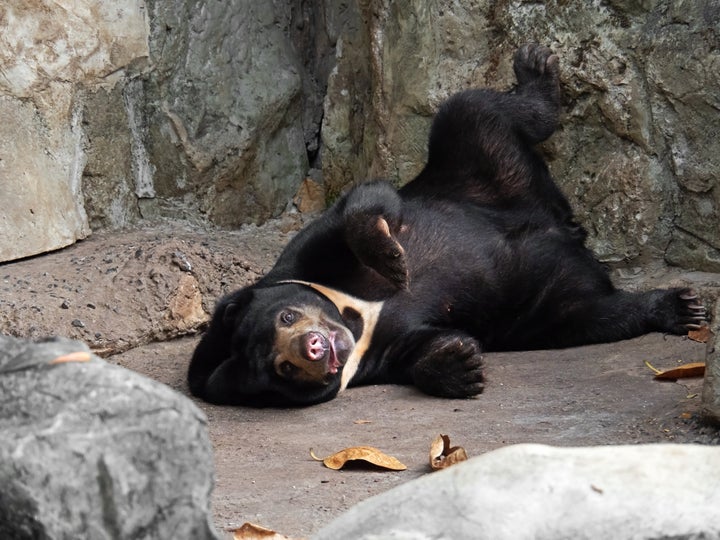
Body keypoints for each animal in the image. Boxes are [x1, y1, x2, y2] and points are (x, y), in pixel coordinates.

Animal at [187, 43, 708, 404]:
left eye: (287, 317)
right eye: (283, 368)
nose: (314, 347)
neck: (357, 320)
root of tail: (564, 225)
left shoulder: (305, 255)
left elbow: (361, 204)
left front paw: (393, 261)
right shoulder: (379, 355)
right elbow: (421, 347)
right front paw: (459, 364)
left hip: (479, 170)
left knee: (474, 110)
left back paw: (537, 73)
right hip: (538, 310)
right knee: (592, 315)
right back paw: (679, 308)